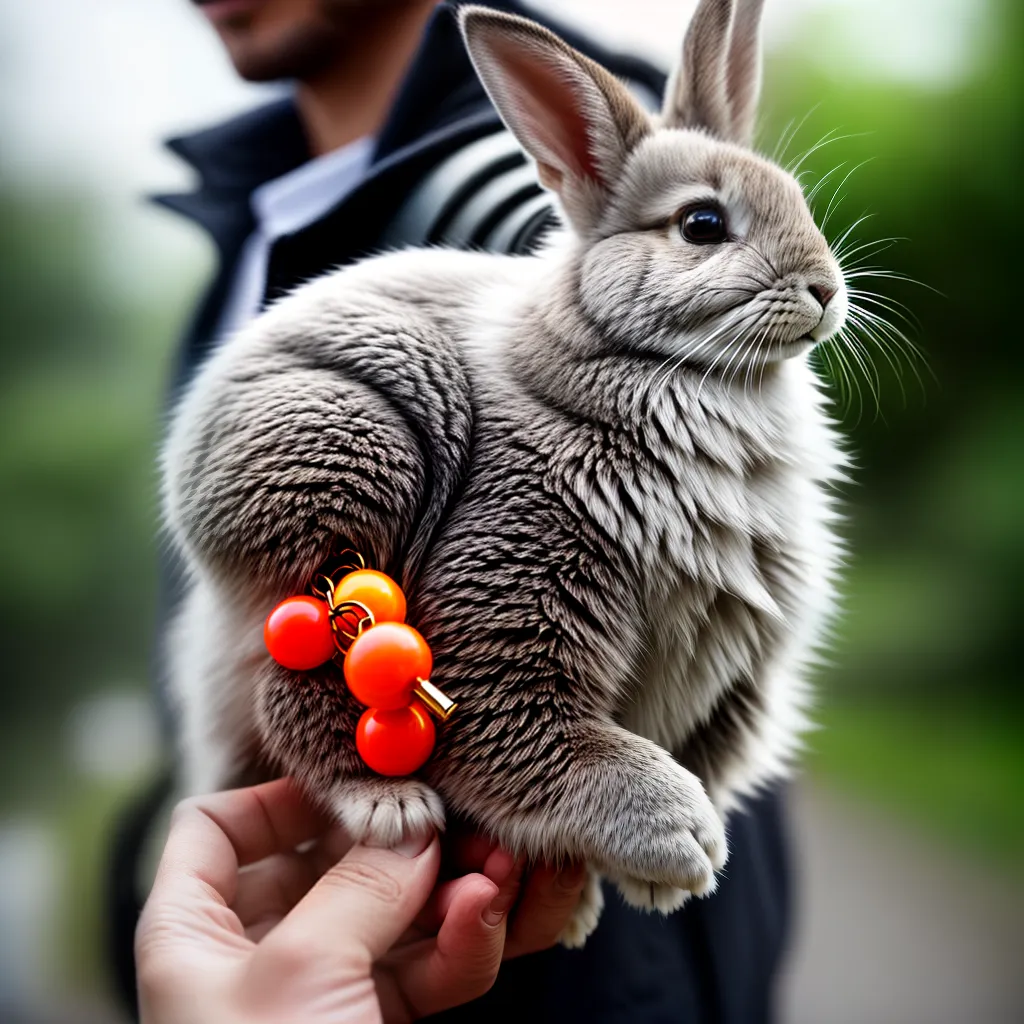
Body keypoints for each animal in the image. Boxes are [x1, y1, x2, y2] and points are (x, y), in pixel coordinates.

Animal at [162, 0, 848, 947]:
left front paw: (645, 889)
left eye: (799, 200)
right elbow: (542, 741)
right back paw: (388, 805)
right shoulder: (515, 590)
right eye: (702, 225)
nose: (826, 289)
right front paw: (682, 843)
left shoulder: (737, 681)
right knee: (291, 690)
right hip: (346, 467)